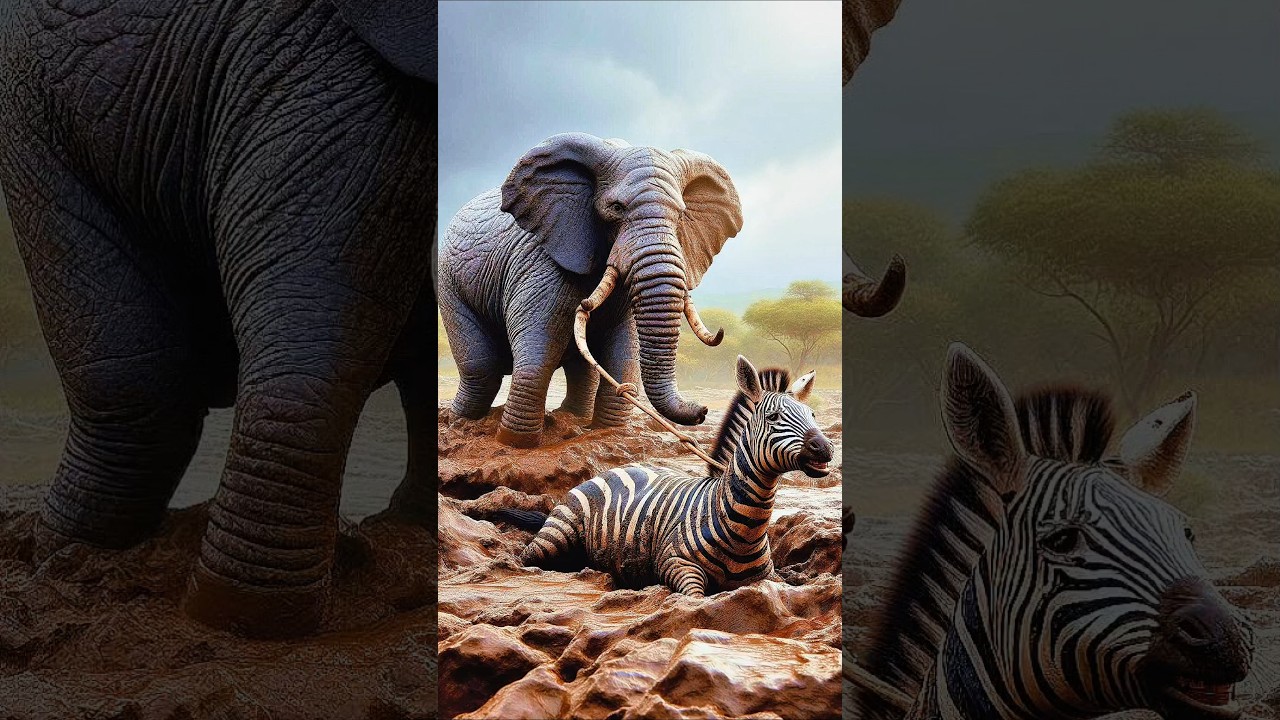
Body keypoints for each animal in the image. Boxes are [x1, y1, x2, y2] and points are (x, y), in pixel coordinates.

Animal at [438, 133, 743, 449]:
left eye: (681, 214)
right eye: (616, 208)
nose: (702, 410)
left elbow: (624, 351)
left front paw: (609, 432)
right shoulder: (540, 261)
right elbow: (539, 343)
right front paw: (514, 442)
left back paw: (572, 418)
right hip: (449, 281)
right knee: (482, 368)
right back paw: (458, 420)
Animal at [512, 355, 833, 597]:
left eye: (813, 416)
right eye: (774, 418)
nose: (826, 447)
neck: (744, 527)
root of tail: (614, 468)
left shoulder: (767, 577)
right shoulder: (675, 564)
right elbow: (695, 598)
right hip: (556, 535)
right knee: (527, 557)